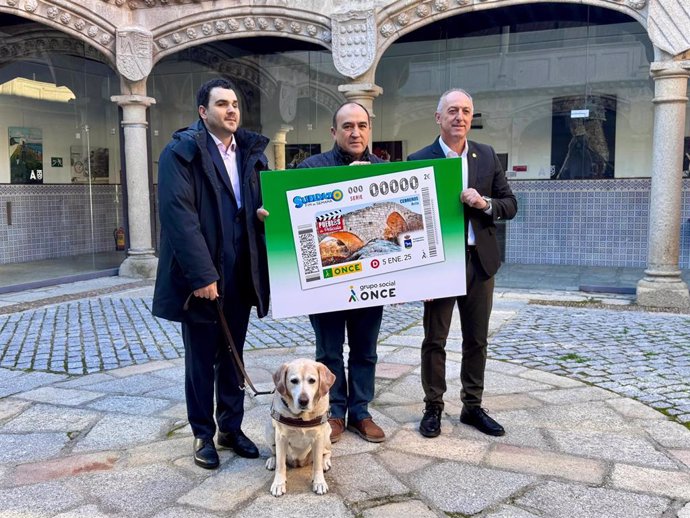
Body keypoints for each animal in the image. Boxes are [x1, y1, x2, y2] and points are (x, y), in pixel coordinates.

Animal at [264, 360, 334, 498]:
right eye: (294, 381)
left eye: (312, 380)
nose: (303, 401)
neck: (301, 417)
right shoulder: (280, 437)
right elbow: (281, 464)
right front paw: (278, 484)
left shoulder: (318, 437)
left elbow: (317, 464)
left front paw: (319, 482)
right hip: (269, 430)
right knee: (275, 454)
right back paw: (272, 460)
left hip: (326, 432)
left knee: (327, 452)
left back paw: (325, 462)